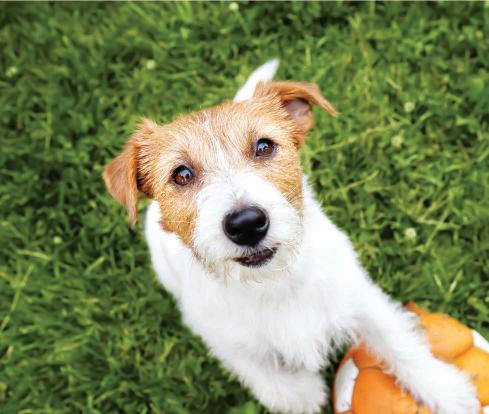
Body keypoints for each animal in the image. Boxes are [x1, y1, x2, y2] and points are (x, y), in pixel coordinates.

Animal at [103, 60, 479, 413]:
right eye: (181, 174)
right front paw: (301, 393)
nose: (246, 223)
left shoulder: (359, 295)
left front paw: (446, 391)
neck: (273, 282)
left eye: (264, 146)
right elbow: (260, 370)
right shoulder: (222, 337)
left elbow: (396, 339)